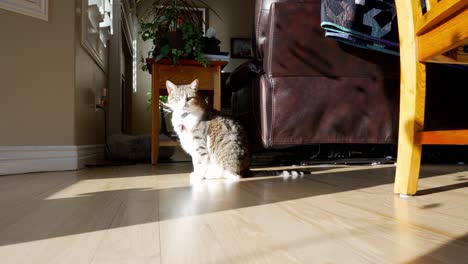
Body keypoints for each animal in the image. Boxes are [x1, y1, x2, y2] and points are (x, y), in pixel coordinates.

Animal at [164, 78, 304, 182]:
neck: (184, 117)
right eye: (177, 99)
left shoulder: (200, 145)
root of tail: (247, 169)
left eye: (189, 98)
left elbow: (201, 162)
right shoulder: (193, 147)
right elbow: (195, 162)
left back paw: (212, 175)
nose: (183, 105)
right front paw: (196, 174)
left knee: (233, 176)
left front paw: (199, 177)